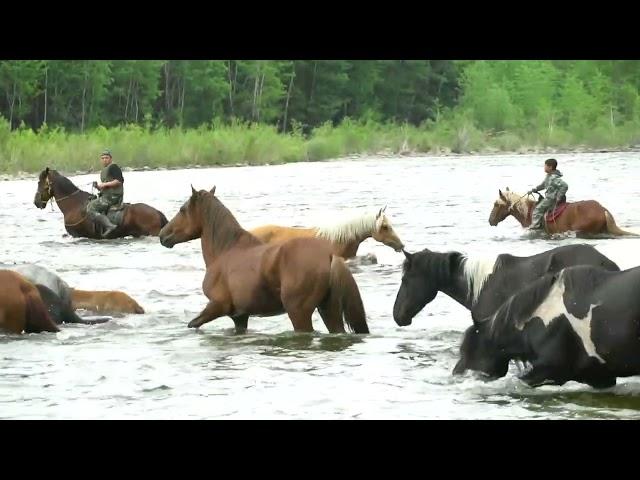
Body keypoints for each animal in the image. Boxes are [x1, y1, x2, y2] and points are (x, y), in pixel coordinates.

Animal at [158, 187, 370, 334]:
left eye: (182, 209)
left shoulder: (217, 306)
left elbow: (193, 324)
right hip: (328, 309)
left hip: (299, 313)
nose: (162, 235)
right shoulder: (240, 316)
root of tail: (329, 256)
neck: (225, 252)